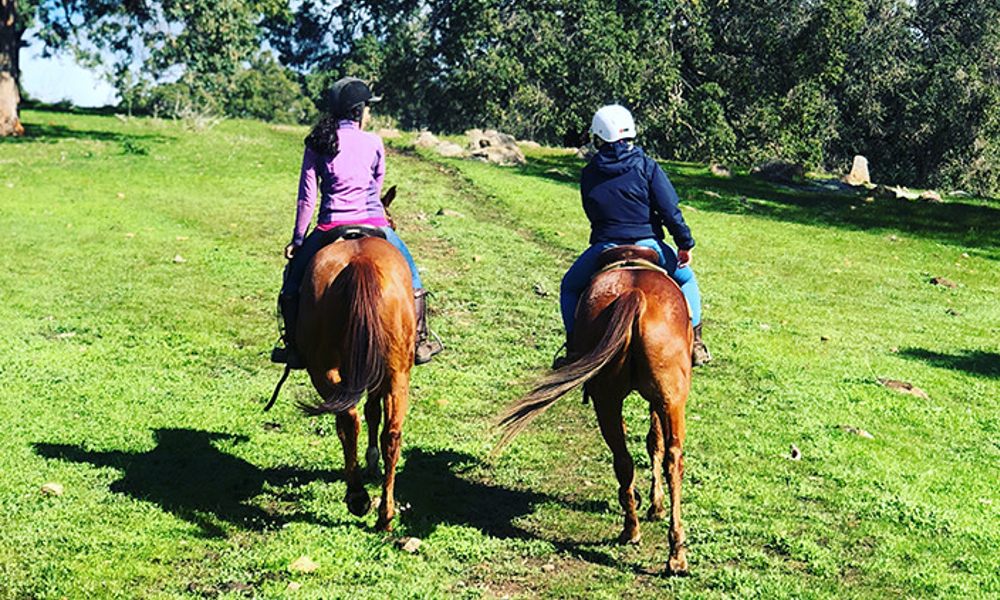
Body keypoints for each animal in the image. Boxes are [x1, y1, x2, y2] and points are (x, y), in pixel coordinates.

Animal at [294, 234, 416, 528]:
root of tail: (360, 262)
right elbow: (373, 412)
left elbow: (369, 412)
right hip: (397, 372)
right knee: (391, 434)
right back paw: (384, 514)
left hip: (323, 369)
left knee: (348, 421)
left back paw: (358, 497)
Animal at [496, 246, 692, 576]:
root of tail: (635, 296)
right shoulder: (658, 400)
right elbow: (654, 442)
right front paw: (656, 504)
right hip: (654, 398)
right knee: (666, 459)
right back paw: (657, 542)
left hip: (612, 398)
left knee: (630, 459)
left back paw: (649, 538)